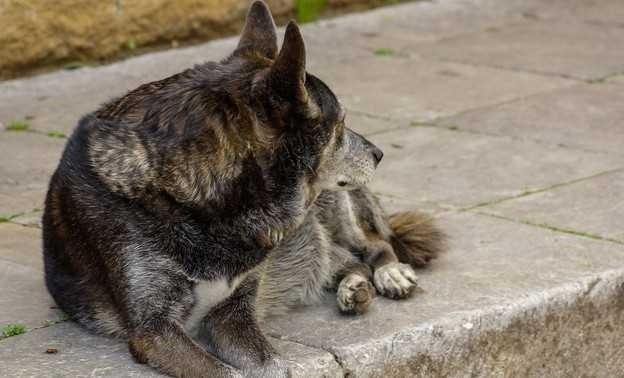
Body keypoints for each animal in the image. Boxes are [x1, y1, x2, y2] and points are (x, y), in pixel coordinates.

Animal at [41, 1, 444, 376]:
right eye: (341, 125)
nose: (379, 153)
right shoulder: (155, 331)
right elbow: (223, 370)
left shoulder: (233, 315)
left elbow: (274, 366)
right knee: (342, 259)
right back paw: (354, 287)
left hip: (333, 203)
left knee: (373, 244)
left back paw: (389, 273)